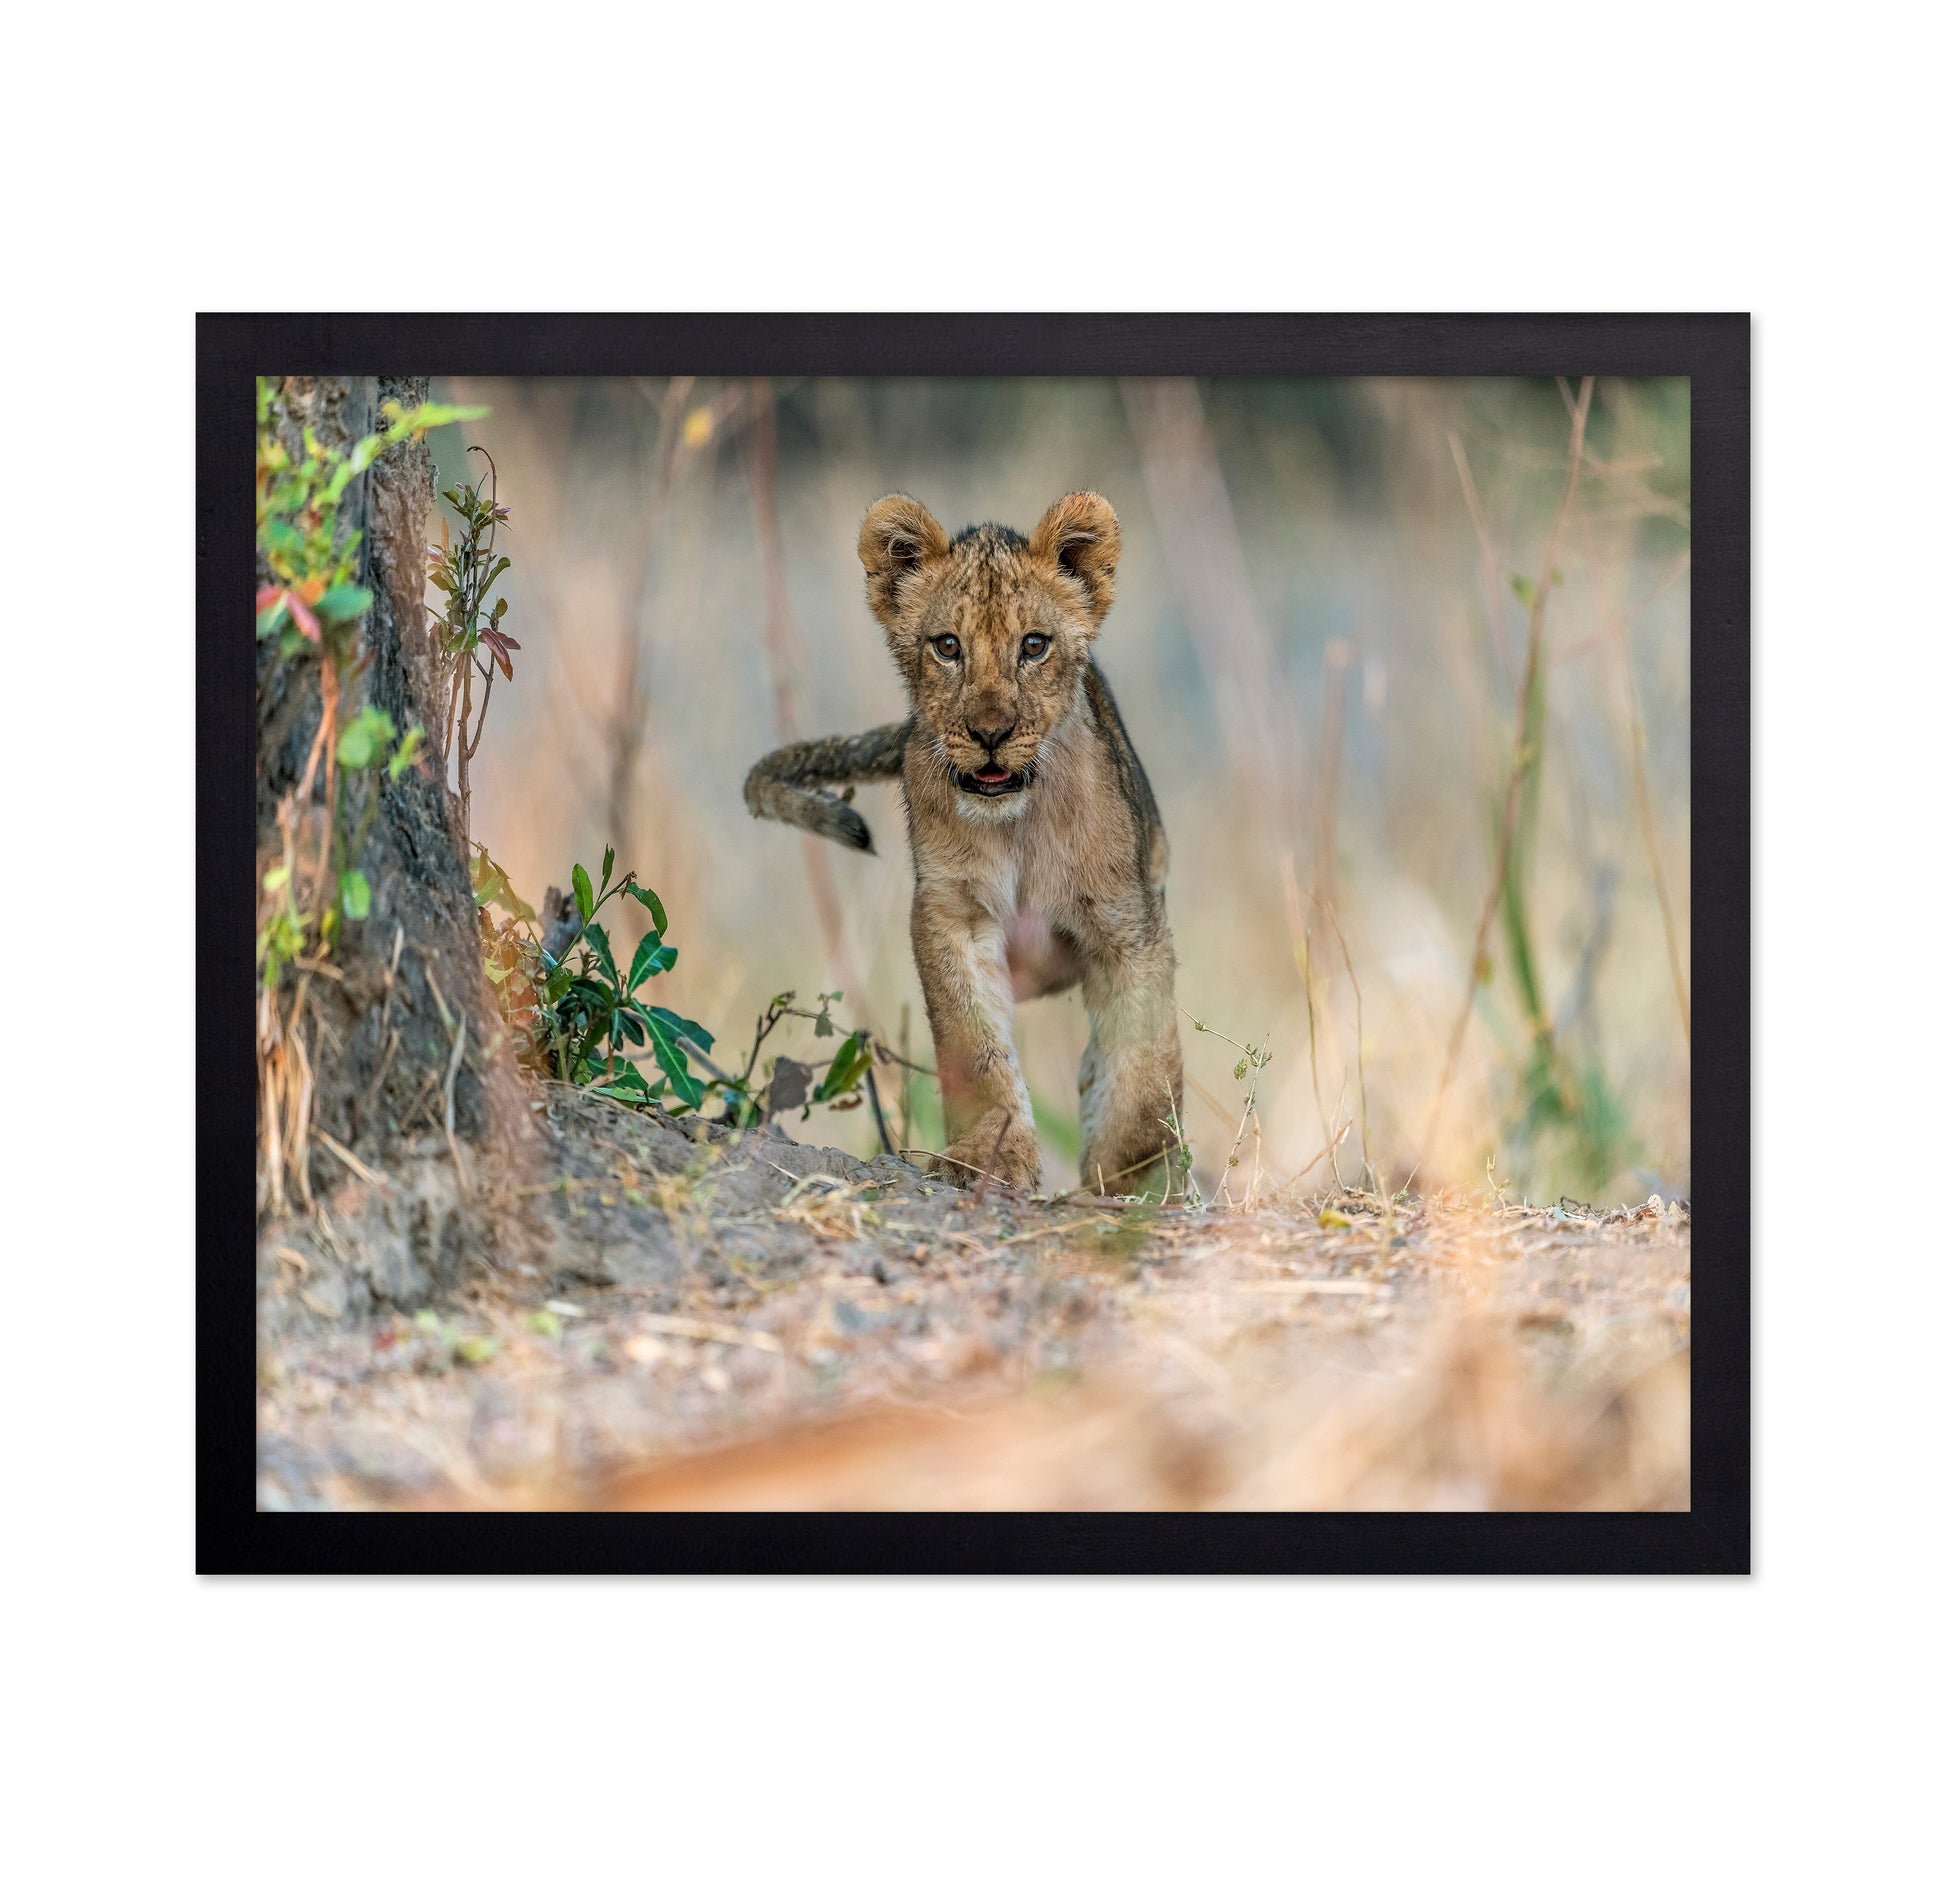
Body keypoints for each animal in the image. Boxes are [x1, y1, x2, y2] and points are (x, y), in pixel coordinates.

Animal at [744, 491, 1185, 1198]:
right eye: (948, 646)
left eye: (1034, 645)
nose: (990, 733)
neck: (1018, 826)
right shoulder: (951, 916)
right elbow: (973, 1045)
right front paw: (989, 1157)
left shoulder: (1131, 925)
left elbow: (1144, 1069)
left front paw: (1134, 1184)